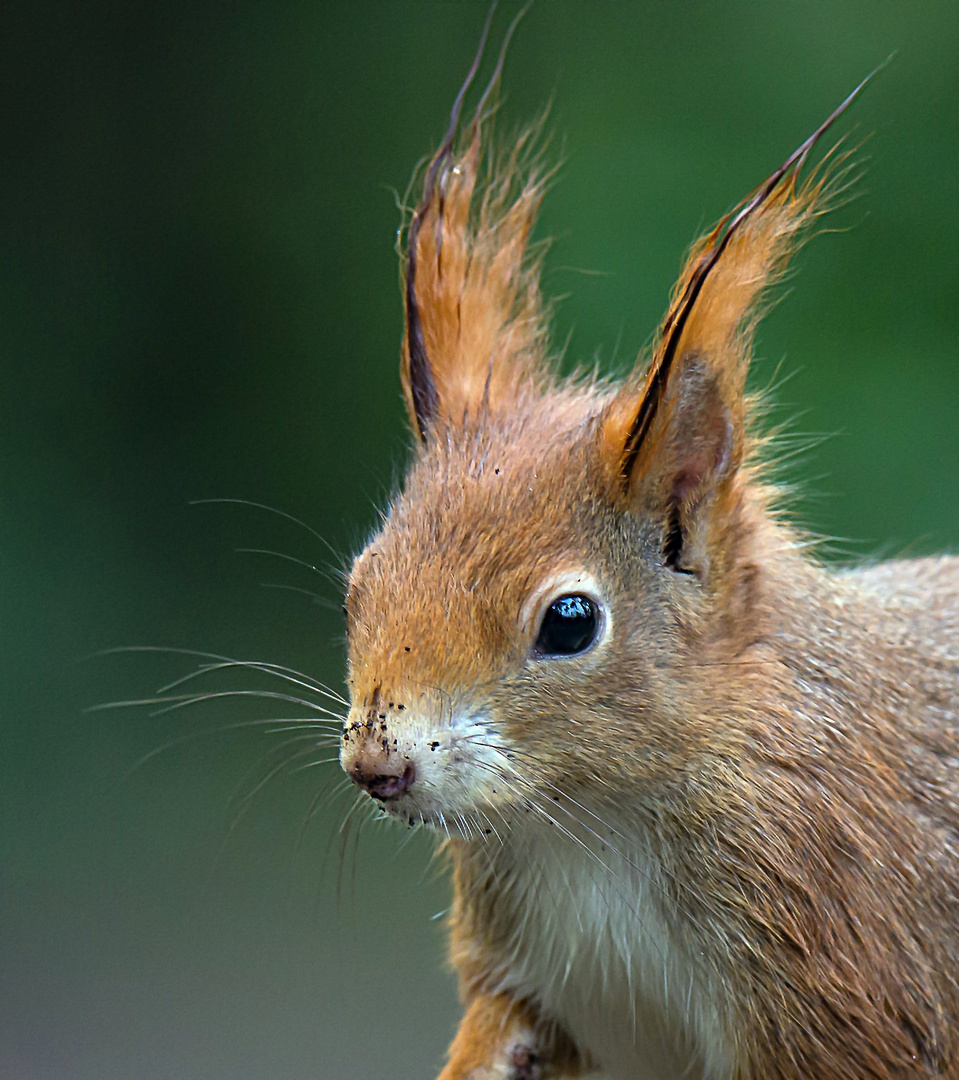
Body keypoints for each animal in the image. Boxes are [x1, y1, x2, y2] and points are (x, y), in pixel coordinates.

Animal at [336, 19, 959, 1080]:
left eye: (569, 621)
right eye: (358, 582)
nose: (378, 765)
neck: (587, 822)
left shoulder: (843, 955)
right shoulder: (532, 975)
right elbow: (502, 1019)